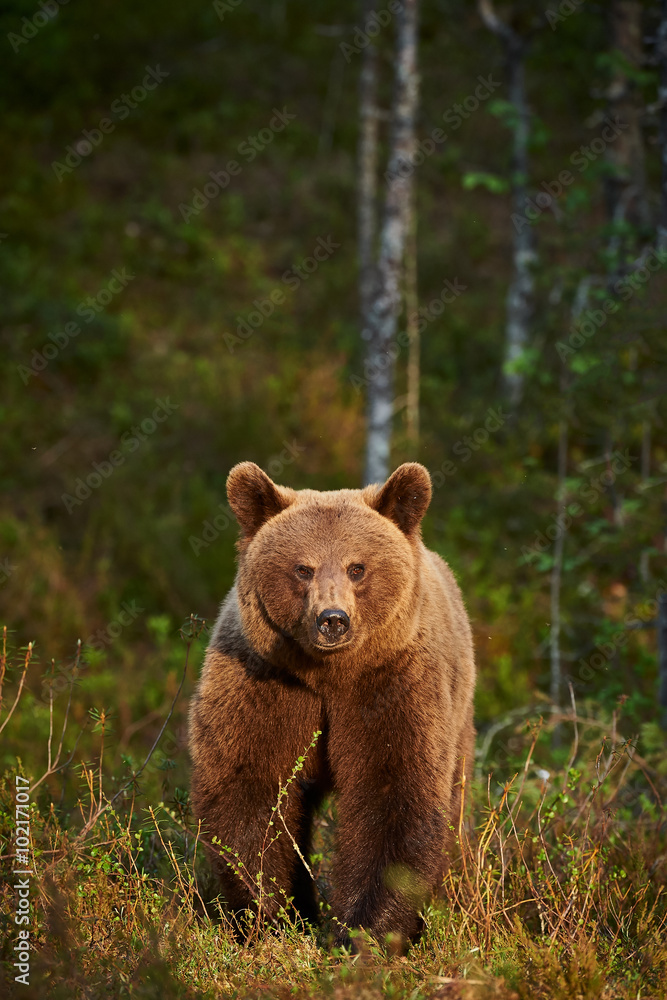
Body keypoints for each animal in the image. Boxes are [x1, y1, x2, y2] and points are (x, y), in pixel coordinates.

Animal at [188, 460, 476, 946]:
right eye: (303, 568)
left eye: (357, 567)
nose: (332, 620)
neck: (328, 675)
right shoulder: (265, 685)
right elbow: (251, 790)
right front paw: (274, 915)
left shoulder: (392, 683)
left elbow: (395, 793)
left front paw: (365, 929)